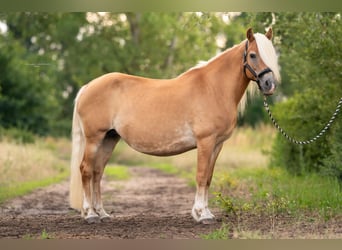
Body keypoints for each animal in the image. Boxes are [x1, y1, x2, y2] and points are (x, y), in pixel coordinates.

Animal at [69, 27, 280, 225]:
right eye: (252, 55)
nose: (269, 84)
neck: (213, 88)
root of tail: (88, 87)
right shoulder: (205, 142)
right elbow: (201, 176)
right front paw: (201, 214)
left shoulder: (217, 144)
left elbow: (209, 178)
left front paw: (206, 212)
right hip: (94, 138)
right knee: (86, 170)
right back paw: (90, 214)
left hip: (109, 138)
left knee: (97, 172)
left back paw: (102, 213)